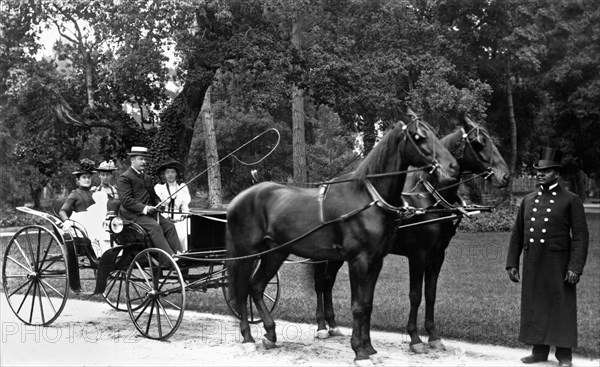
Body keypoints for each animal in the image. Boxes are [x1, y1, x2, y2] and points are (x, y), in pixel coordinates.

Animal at [225, 110, 460, 366]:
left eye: (434, 133)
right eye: (418, 137)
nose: (452, 167)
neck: (367, 199)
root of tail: (237, 200)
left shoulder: (376, 261)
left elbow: (367, 304)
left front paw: (370, 349)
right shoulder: (359, 260)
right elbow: (357, 306)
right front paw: (359, 351)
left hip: (275, 253)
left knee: (256, 287)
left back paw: (270, 334)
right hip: (248, 253)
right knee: (241, 290)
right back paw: (248, 338)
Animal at [312, 114, 508, 354]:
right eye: (479, 143)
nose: (505, 176)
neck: (428, 199)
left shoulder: (437, 254)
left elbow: (431, 294)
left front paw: (433, 336)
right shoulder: (418, 255)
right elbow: (415, 295)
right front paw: (415, 339)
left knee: (328, 282)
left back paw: (332, 325)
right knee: (321, 283)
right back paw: (322, 327)